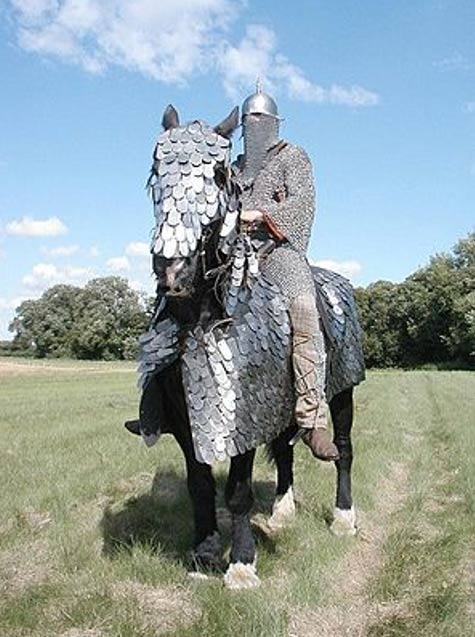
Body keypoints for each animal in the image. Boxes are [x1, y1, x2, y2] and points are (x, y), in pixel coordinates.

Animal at [124, 104, 366, 588]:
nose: (172, 269)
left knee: (343, 449)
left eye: (218, 175)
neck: (201, 317)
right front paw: (203, 551)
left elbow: (236, 492)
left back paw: (343, 518)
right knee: (288, 450)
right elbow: (200, 485)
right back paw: (282, 513)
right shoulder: (188, 421)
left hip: (343, 390)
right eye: (156, 171)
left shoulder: (242, 417)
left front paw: (240, 564)